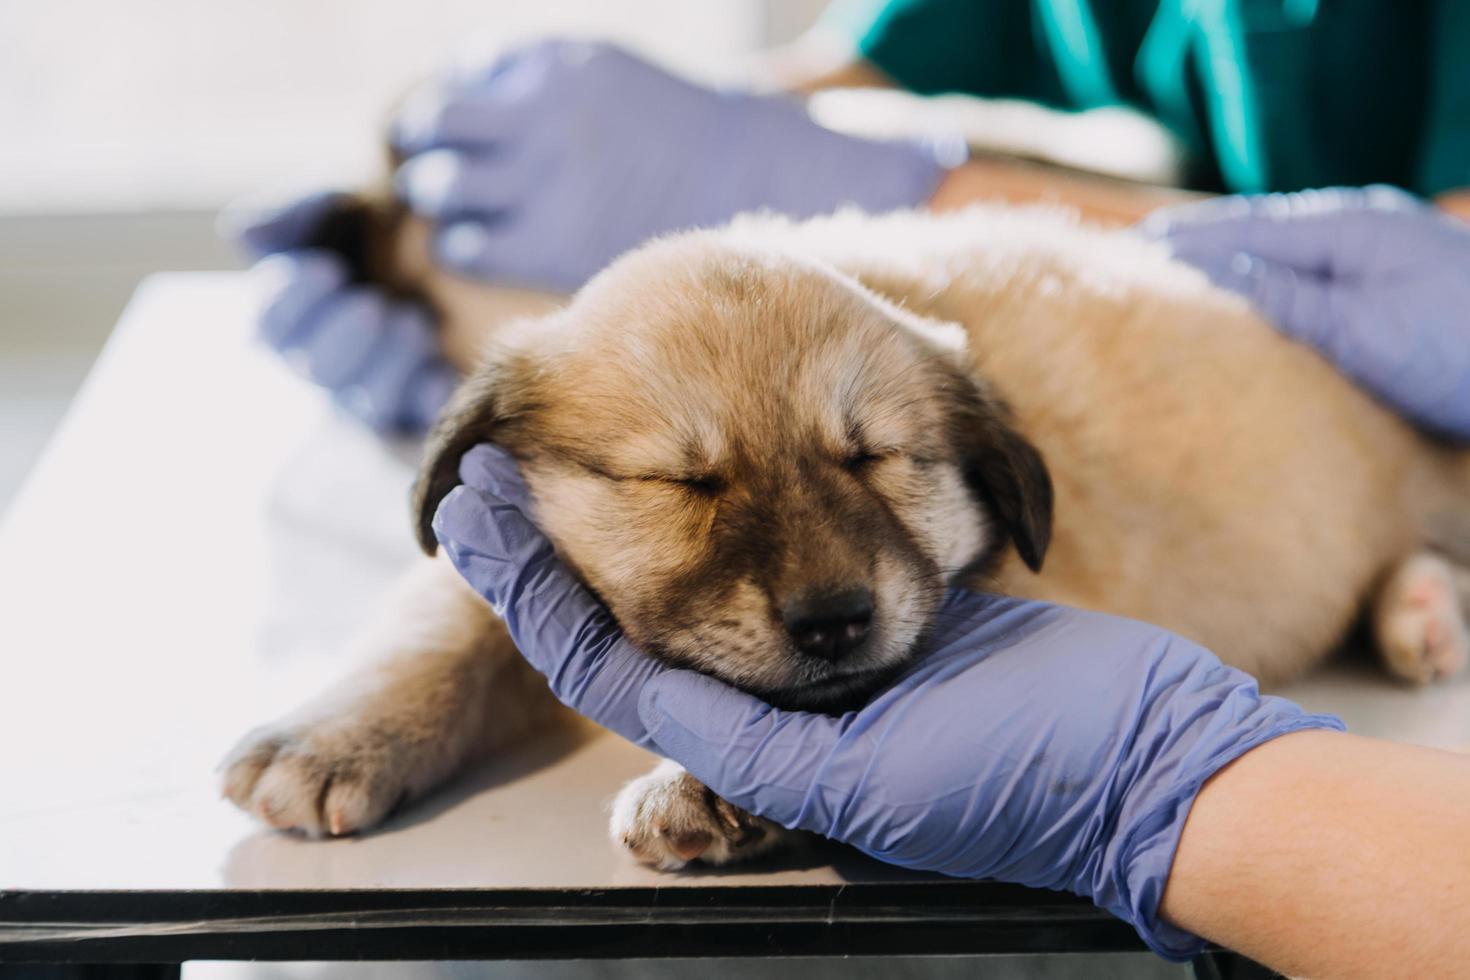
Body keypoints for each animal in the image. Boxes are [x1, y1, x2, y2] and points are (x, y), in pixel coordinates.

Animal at [217, 202, 1470, 869]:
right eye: (685, 478)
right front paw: (335, 735)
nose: (832, 622)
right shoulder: (503, 561)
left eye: (873, 457)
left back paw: (1425, 611)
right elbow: (446, 639)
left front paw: (710, 787)